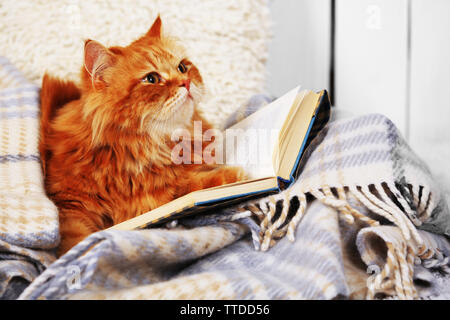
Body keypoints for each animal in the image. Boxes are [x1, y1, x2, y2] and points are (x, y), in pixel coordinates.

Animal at [39, 16, 246, 255]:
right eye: (151, 79)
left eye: (182, 67)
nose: (185, 82)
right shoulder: (70, 206)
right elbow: (76, 240)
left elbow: (187, 187)